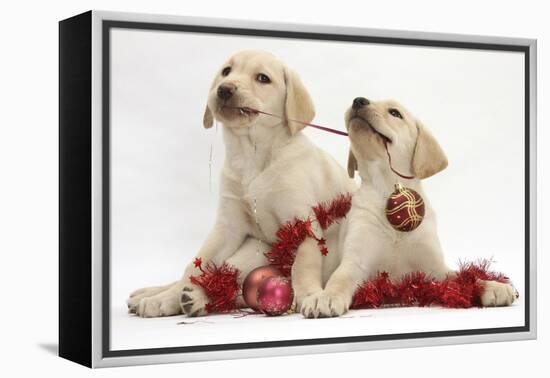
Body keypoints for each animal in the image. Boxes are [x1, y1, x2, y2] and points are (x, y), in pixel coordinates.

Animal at [127, 50, 356, 316]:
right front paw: (167, 297)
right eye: (226, 72)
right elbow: (195, 265)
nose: (224, 89)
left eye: (263, 78)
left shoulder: (303, 222)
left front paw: (311, 295)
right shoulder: (227, 226)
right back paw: (160, 296)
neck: (252, 155)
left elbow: (303, 264)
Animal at [300, 96, 520, 318]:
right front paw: (325, 297)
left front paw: (490, 286)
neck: (388, 185)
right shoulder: (355, 261)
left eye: (395, 113)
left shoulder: (435, 268)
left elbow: (464, 277)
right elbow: (339, 279)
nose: (358, 100)